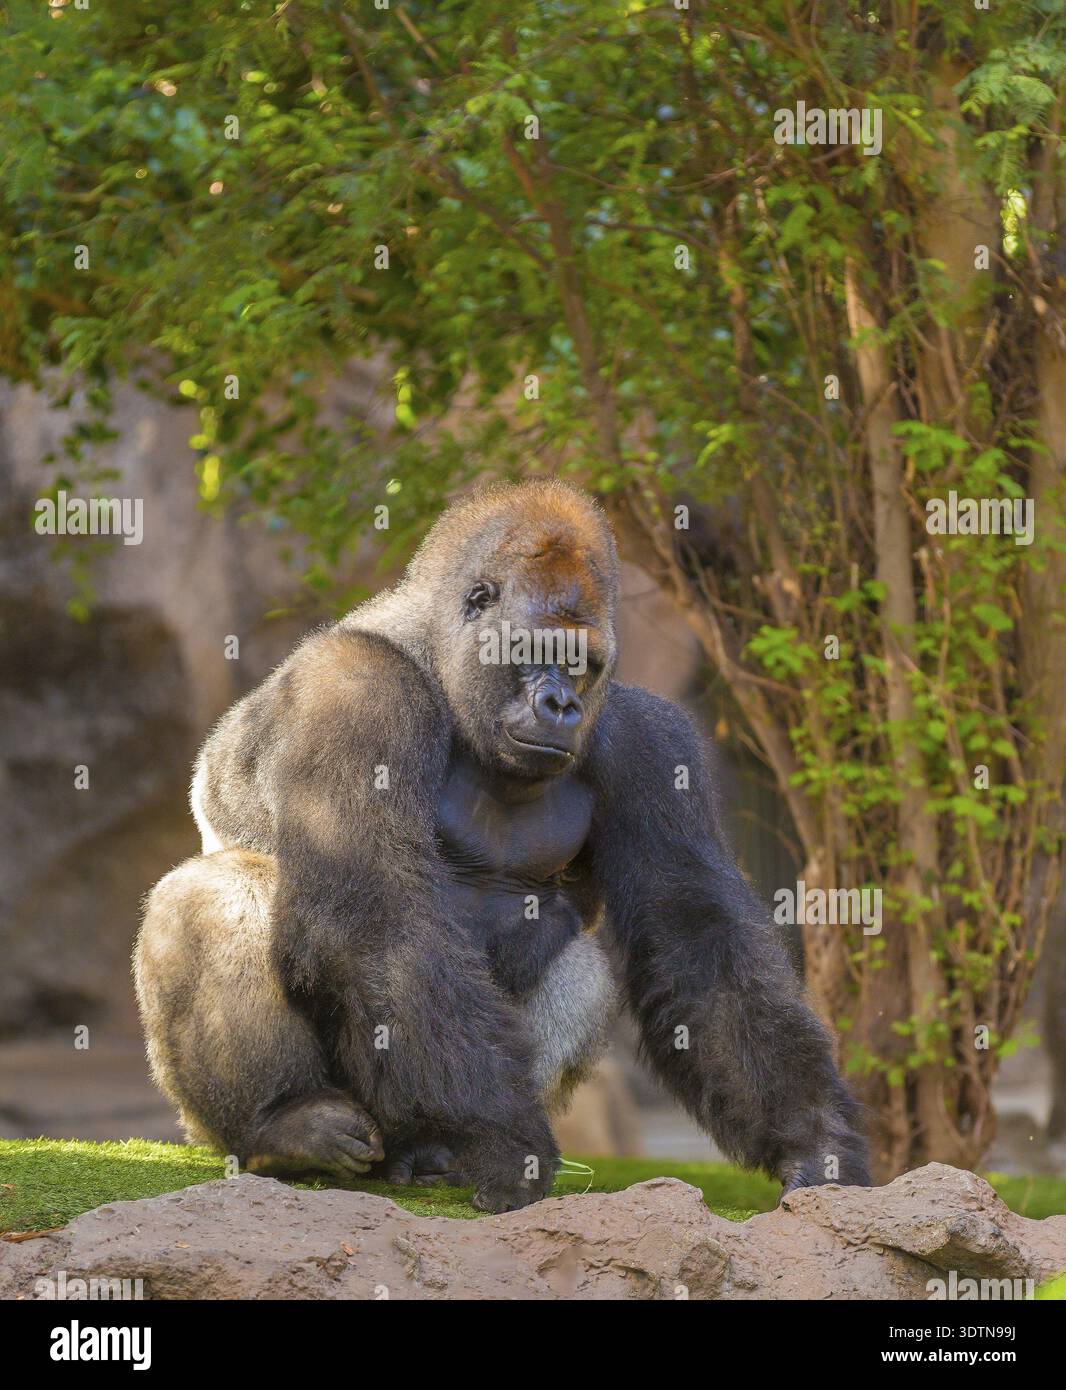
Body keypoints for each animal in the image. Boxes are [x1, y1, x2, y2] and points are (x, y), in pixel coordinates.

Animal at [135, 480, 869, 1213]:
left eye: (580, 664)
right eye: (536, 650)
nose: (562, 706)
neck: (441, 659)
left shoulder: (653, 742)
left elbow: (696, 941)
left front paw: (814, 1140)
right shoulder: (351, 689)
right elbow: (374, 916)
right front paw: (504, 1140)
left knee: (583, 970)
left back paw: (431, 1155)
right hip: (213, 1123)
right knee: (218, 890)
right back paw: (286, 1125)